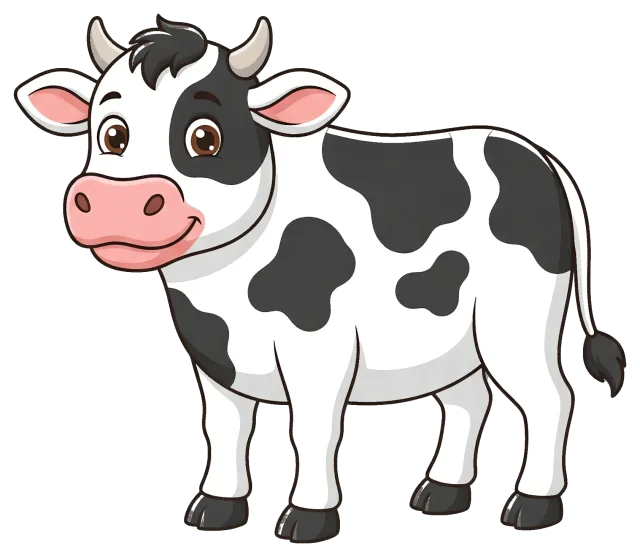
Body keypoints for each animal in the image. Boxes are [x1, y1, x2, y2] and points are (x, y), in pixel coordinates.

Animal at [15, 15, 626, 542]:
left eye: (205, 138)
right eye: (111, 134)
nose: (117, 201)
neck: (220, 293)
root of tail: (540, 159)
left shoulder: (319, 344)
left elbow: (311, 428)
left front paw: (307, 520)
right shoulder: (212, 356)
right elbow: (224, 429)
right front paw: (215, 509)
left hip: (516, 318)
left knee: (549, 399)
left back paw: (532, 507)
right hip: (456, 333)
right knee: (468, 400)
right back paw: (439, 495)